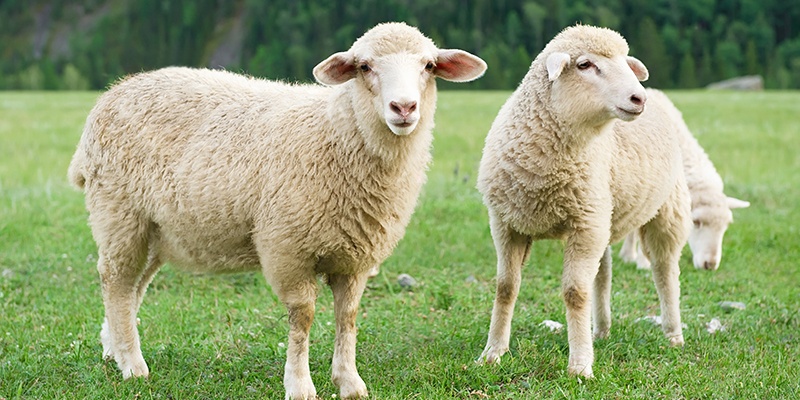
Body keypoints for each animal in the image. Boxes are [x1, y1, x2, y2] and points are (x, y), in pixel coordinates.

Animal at [67, 22, 487, 400]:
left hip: (156, 229)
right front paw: (299, 386)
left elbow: (347, 317)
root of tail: (114, 92)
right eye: (365, 66)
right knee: (116, 281)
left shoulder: (355, 257)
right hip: (119, 213)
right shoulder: (288, 249)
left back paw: (114, 348)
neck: (337, 133)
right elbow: (303, 317)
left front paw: (349, 382)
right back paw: (132, 365)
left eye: (429, 65)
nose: (404, 107)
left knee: (132, 288)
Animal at [475, 25, 691, 378]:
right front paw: (493, 352)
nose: (638, 98)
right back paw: (600, 330)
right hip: (603, 215)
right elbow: (505, 287)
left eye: (626, 63)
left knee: (665, 271)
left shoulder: (584, 225)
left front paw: (579, 365)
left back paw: (673, 334)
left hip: (665, 210)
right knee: (603, 275)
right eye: (585, 65)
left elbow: (575, 293)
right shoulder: (507, 224)